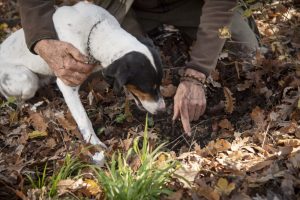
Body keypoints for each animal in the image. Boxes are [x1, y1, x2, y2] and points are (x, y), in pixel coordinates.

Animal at [0, 1, 164, 164]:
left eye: (159, 84)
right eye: (147, 88)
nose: (163, 109)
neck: (96, 32)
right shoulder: (67, 81)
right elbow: (83, 118)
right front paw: (94, 142)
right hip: (27, 80)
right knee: (13, 98)